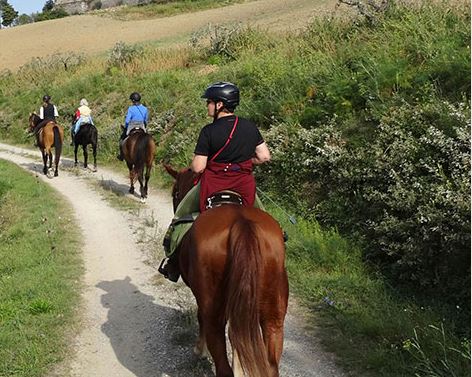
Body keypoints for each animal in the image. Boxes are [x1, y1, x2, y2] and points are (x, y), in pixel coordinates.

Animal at [163, 164, 288, 376]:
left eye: (175, 193)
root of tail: (242, 224)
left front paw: (200, 350)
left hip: (213, 310)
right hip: (274, 318)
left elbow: (201, 317)